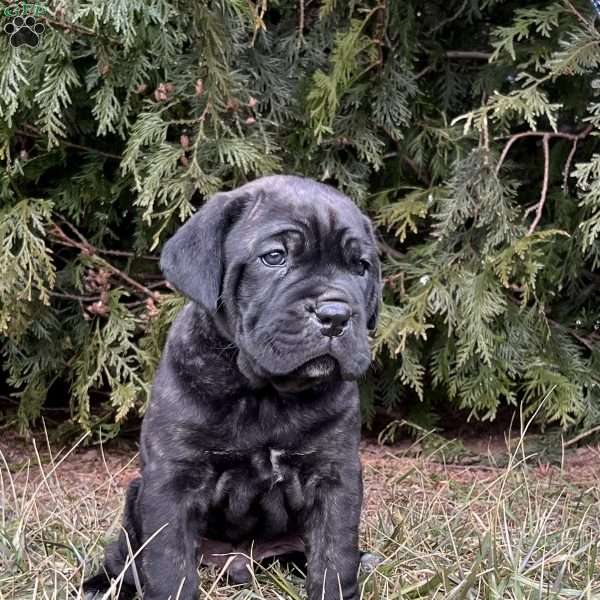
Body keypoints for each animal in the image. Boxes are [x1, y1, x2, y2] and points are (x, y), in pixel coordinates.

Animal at [82, 175, 382, 600]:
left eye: (361, 267)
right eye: (274, 257)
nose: (336, 315)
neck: (264, 393)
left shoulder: (334, 475)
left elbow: (334, 556)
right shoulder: (173, 478)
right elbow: (168, 563)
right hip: (134, 500)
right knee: (125, 558)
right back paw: (101, 584)